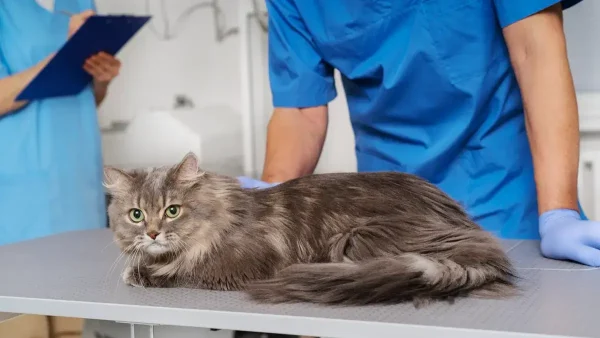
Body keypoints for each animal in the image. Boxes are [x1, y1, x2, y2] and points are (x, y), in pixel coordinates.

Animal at [103, 152, 516, 304]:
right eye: (136, 215)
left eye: (172, 211)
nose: (152, 233)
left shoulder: (233, 269)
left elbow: (184, 272)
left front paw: (142, 274)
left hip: (356, 239)